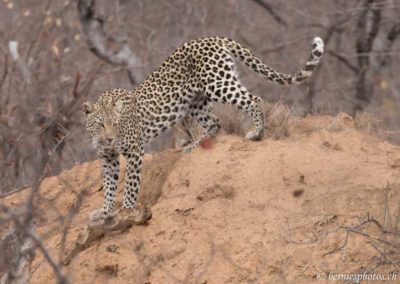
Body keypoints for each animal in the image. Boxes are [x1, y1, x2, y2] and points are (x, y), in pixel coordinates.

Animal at [83, 36, 324, 222]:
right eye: (100, 125)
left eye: (115, 124)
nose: (110, 139)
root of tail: (214, 38)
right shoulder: (108, 158)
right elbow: (109, 185)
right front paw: (104, 211)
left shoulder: (134, 150)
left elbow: (131, 183)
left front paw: (127, 209)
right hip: (195, 101)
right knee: (214, 122)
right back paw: (193, 146)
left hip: (217, 83)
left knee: (253, 100)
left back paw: (257, 133)